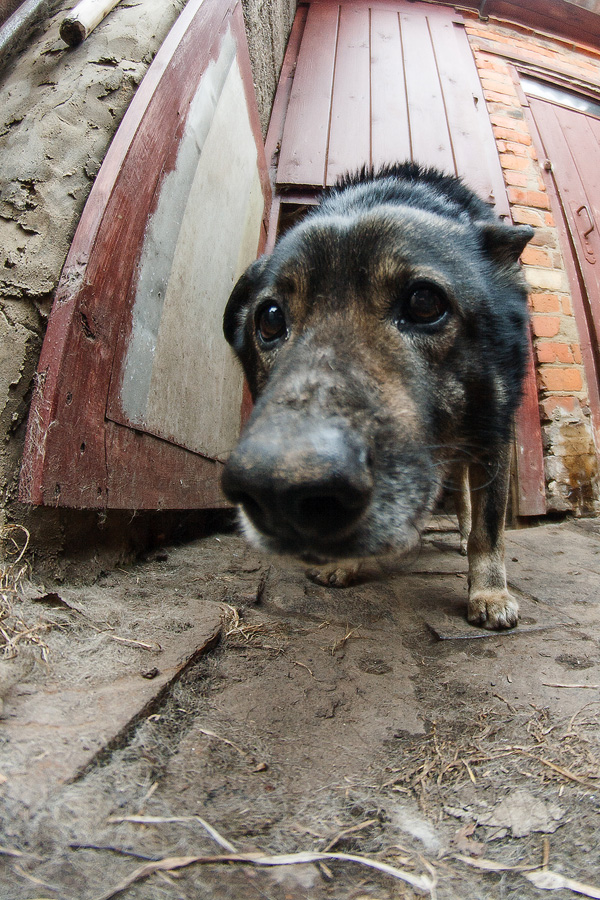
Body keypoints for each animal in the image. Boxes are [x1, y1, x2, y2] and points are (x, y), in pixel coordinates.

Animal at [221, 165, 536, 628]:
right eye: (271, 319)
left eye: (424, 302)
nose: (278, 491)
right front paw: (341, 563)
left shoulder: (496, 429)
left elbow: (489, 526)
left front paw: (490, 592)